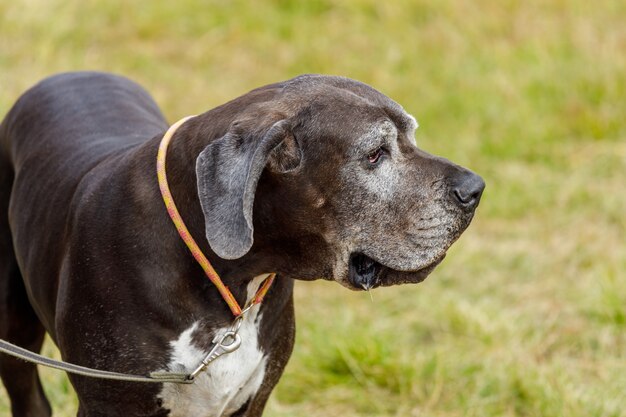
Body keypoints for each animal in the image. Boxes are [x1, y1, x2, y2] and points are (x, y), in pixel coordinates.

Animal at [0, 72, 482, 416]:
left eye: (411, 137)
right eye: (375, 154)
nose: (475, 189)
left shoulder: (254, 399)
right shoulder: (111, 404)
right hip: (14, 331)